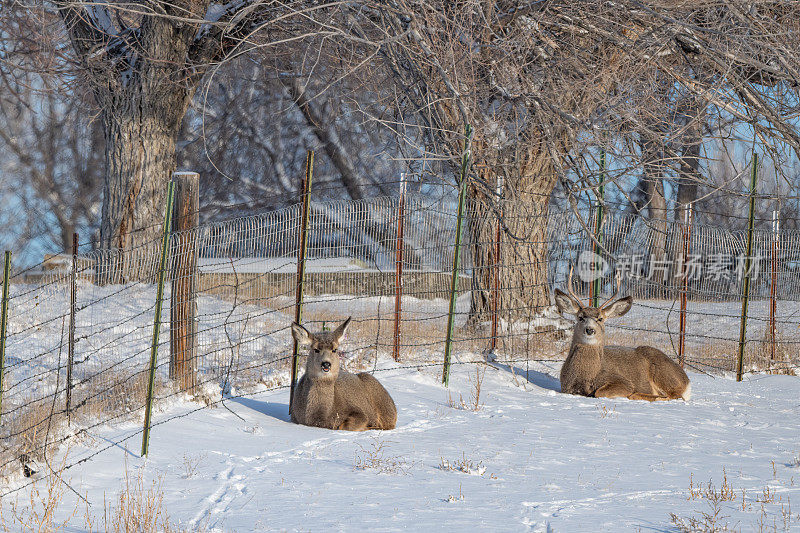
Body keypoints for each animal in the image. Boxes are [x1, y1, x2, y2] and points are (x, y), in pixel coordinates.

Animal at [552, 270, 692, 404]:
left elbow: (600, 392)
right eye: (580, 317)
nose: (590, 330)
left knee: (676, 396)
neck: (588, 376)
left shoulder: (623, 382)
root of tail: (687, 381)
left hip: (664, 376)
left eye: (600, 319)